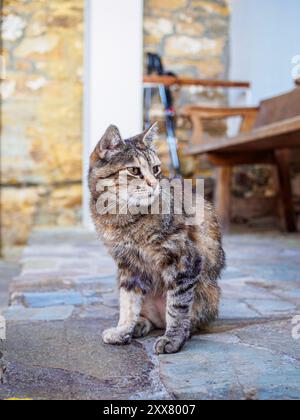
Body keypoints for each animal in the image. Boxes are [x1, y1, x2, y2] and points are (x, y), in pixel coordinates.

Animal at [89, 124, 225, 354]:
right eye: (134, 170)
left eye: (155, 169)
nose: (154, 184)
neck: (123, 219)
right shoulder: (128, 266)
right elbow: (128, 304)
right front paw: (123, 330)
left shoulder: (184, 260)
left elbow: (177, 307)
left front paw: (172, 339)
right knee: (149, 319)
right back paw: (137, 326)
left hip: (208, 295)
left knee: (188, 319)